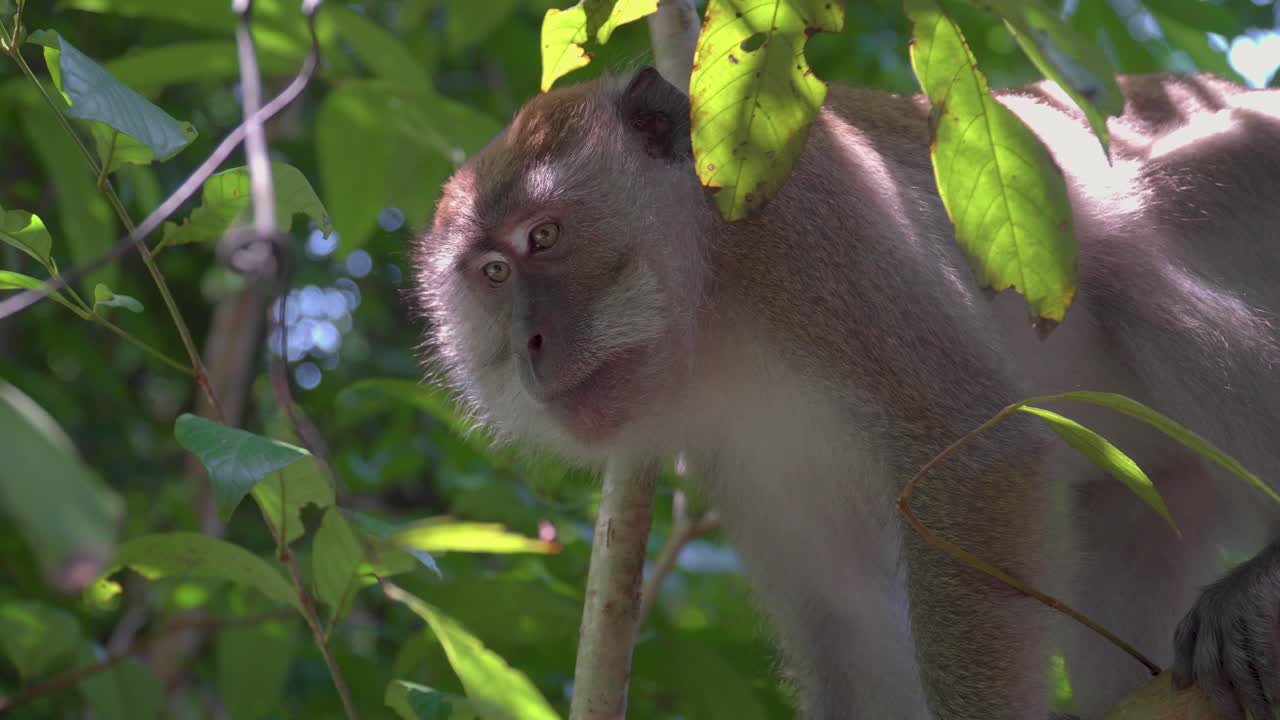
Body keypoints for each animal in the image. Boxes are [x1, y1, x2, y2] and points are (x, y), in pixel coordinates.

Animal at [409, 66, 1280, 719]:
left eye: (545, 235)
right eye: (493, 275)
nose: (530, 344)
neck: (717, 305)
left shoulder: (811, 227)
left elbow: (975, 456)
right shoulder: (731, 439)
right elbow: (846, 611)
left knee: (1129, 271)